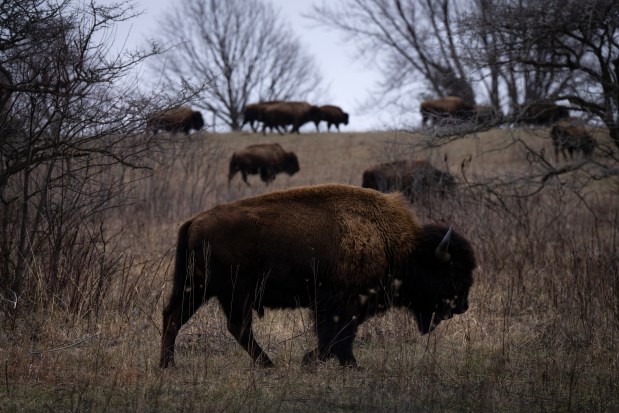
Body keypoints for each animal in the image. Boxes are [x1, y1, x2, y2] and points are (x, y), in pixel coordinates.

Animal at [159, 183, 474, 366]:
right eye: (453, 271)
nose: (462, 306)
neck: (396, 244)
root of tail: (194, 221)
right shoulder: (341, 304)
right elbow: (336, 336)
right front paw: (316, 361)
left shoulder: (341, 307)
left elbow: (339, 337)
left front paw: (338, 363)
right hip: (234, 293)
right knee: (236, 326)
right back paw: (267, 365)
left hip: (198, 288)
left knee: (174, 316)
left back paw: (168, 364)